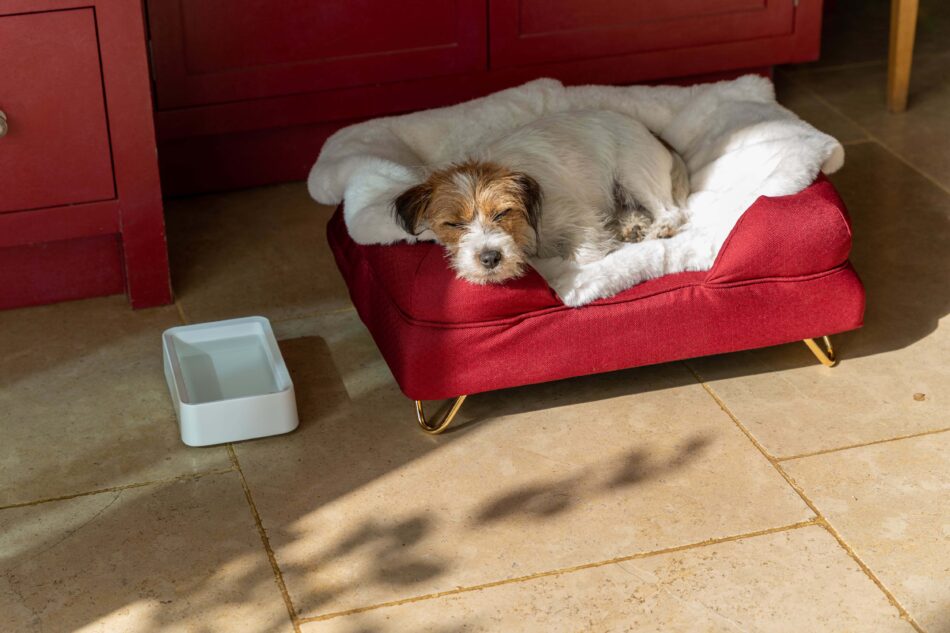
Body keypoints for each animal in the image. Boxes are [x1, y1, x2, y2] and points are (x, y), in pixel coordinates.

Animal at [390, 110, 688, 284]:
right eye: (453, 224)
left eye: (502, 213)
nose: (490, 258)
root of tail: (649, 131)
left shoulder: (578, 218)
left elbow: (582, 258)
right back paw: (633, 226)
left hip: (634, 173)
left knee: (671, 210)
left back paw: (659, 228)